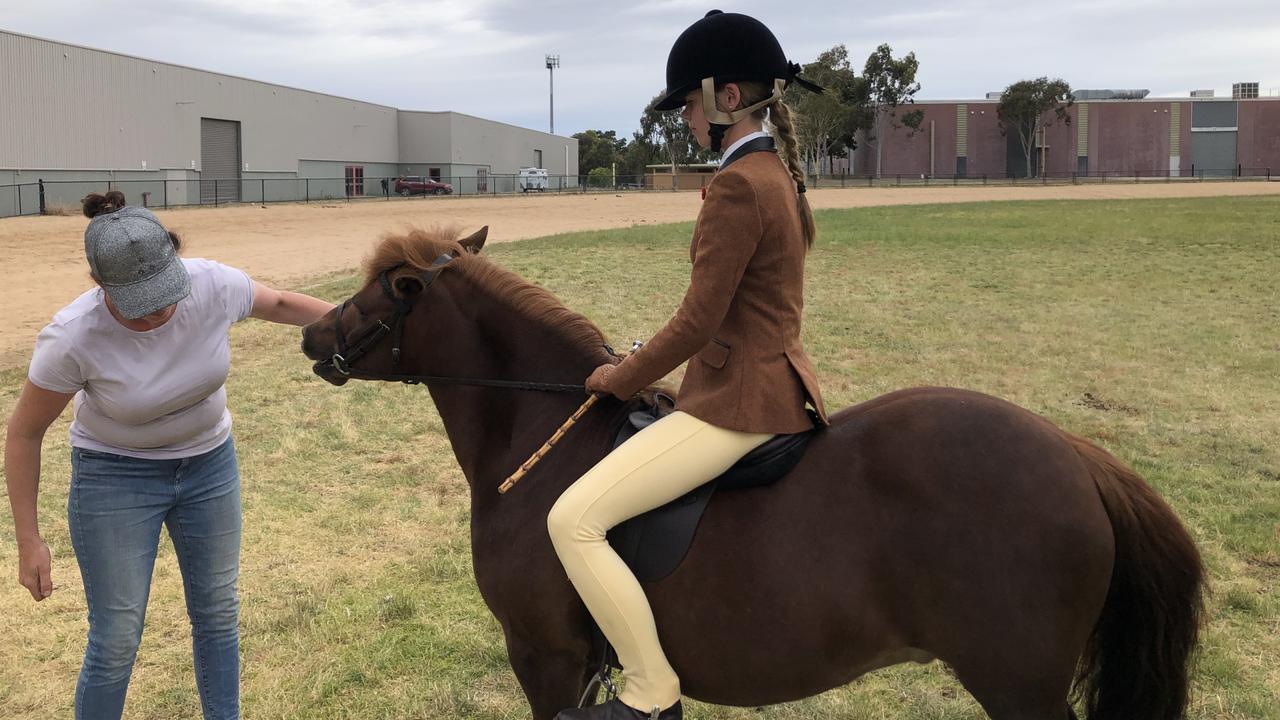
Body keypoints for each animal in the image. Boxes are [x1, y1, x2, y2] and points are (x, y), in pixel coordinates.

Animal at [302, 225, 1208, 717]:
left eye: (380, 288)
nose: (313, 335)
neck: (538, 432)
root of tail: (1078, 455)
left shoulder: (545, 656)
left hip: (1018, 686)